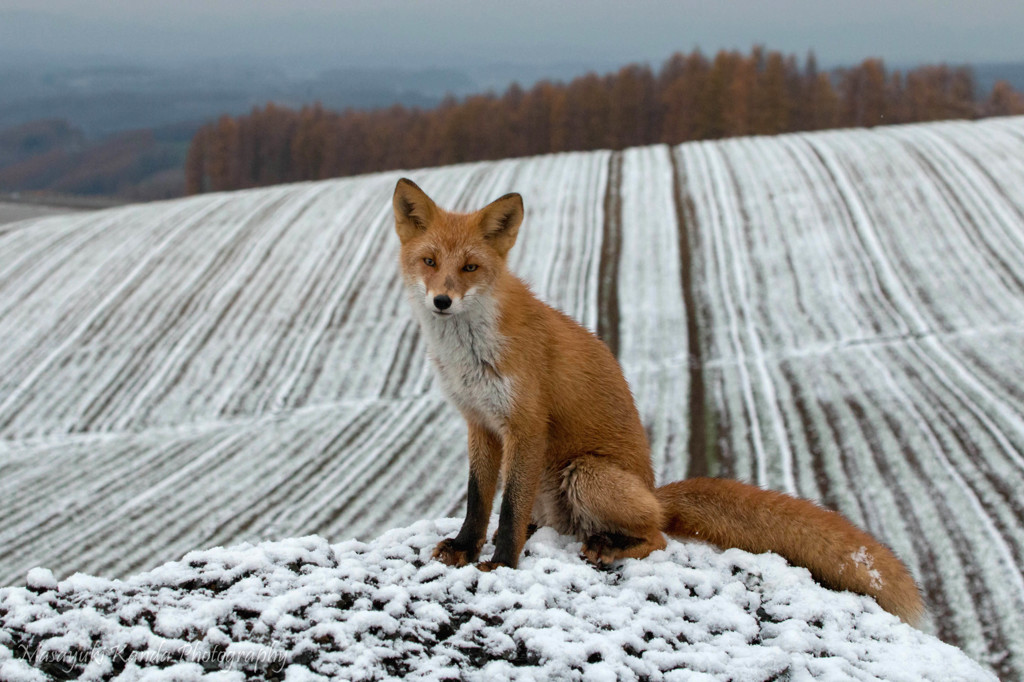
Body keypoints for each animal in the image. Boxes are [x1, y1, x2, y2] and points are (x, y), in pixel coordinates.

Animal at [391, 178, 929, 622]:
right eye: (430, 262)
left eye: (470, 267)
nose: (442, 301)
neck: (469, 352)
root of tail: (654, 489)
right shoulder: (479, 422)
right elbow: (478, 500)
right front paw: (464, 549)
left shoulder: (525, 426)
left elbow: (507, 511)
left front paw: (501, 563)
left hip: (585, 475)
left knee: (659, 535)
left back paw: (611, 546)